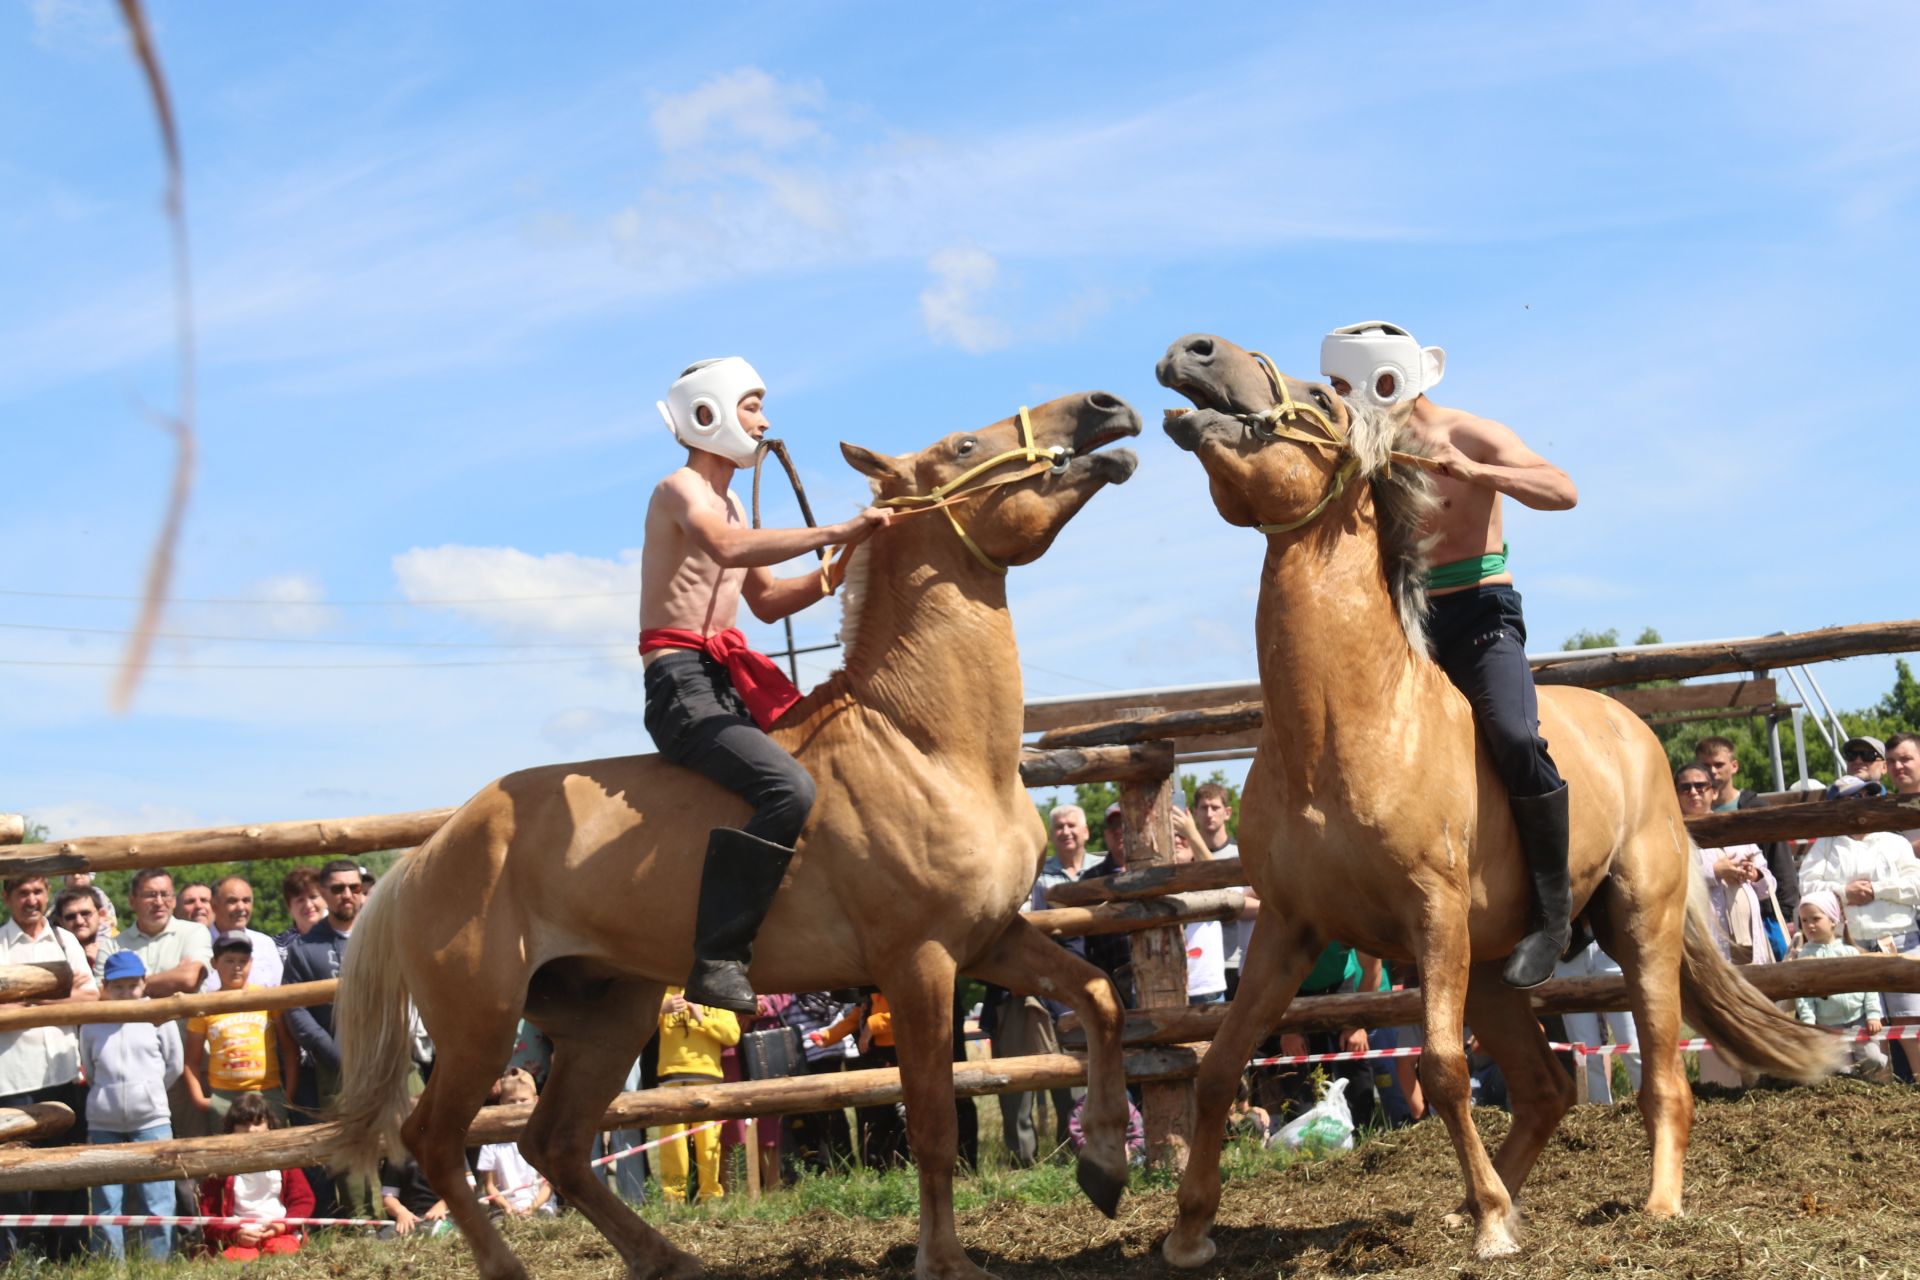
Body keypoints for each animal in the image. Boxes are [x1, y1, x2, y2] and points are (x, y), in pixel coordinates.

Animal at [330, 393, 1136, 1280]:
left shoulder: (990, 938)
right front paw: (945, 1261)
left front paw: (1105, 1165)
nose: (1106, 410)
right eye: (963, 445)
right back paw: (514, 1268)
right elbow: (931, 1120)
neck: (926, 744)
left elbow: (1099, 998)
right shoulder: (919, 963)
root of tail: (422, 859)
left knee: (557, 1143)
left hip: (609, 1016)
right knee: (435, 1141)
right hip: (481, 1027)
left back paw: (669, 1258)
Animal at [1144, 335, 1835, 1266]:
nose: (1194, 352)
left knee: (1661, 1079)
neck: (1347, 726)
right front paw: (1189, 1232)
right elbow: (1219, 1066)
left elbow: (1441, 1070)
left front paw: (1496, 1229)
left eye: (1322, 402)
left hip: (1637, 929)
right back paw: (1483, 1201)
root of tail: (1638, 736)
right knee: (1546, 1087)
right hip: (1494, 971)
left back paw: (1651, 1206)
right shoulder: (1290, 929)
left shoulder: (1431, 915)